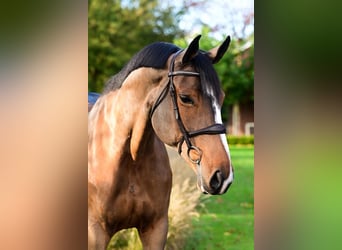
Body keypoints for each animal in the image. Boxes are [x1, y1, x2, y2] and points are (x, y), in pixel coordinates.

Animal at [88, 35, 234, 250]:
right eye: (185, 98)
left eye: (221, 98)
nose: (222, 176)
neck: (129, 159)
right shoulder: (95, 232)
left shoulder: (156, 228)